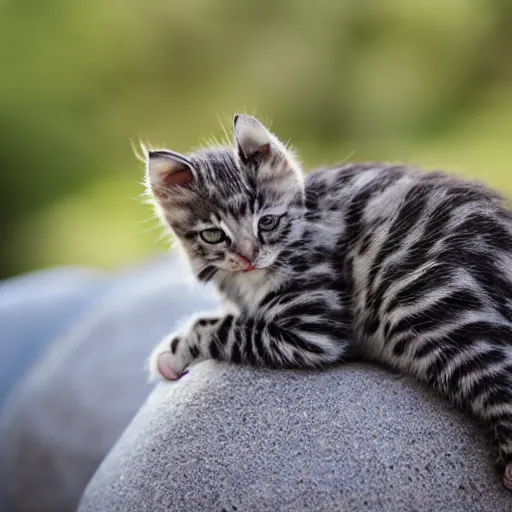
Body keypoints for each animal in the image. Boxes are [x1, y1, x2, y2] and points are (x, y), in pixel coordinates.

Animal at [143, 114, 512, 490]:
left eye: (267, 222)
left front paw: (173, 353)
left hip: (428, 304)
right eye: (214, 235)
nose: (249, 257)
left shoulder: (314, 330)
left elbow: (223, 328)